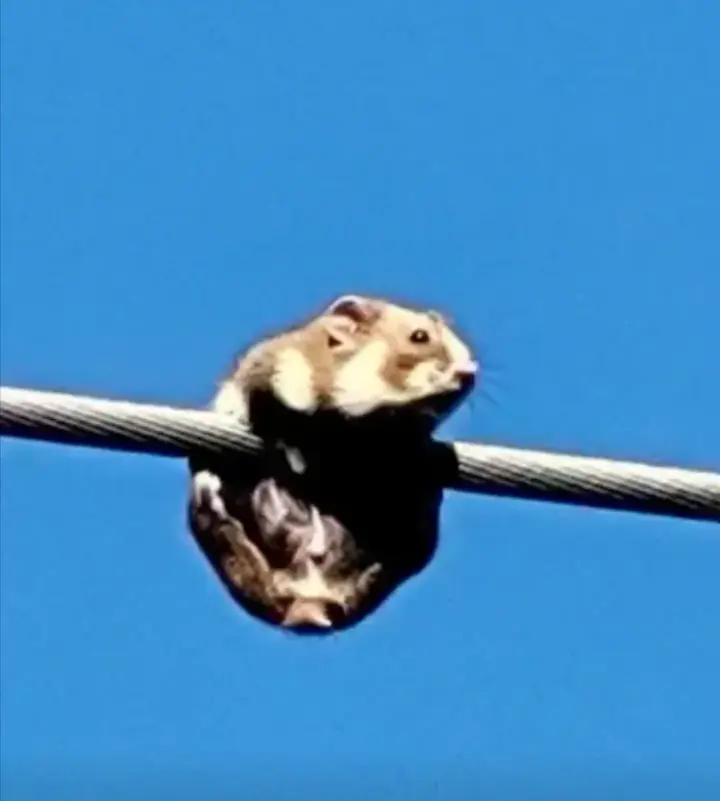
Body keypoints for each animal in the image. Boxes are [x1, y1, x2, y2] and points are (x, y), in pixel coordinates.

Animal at [187, 294, 478, 634]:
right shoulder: (271, 372)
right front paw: (294, 457)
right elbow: (274, 418)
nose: (470, 371)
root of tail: (309, 605)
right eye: (419, 336)